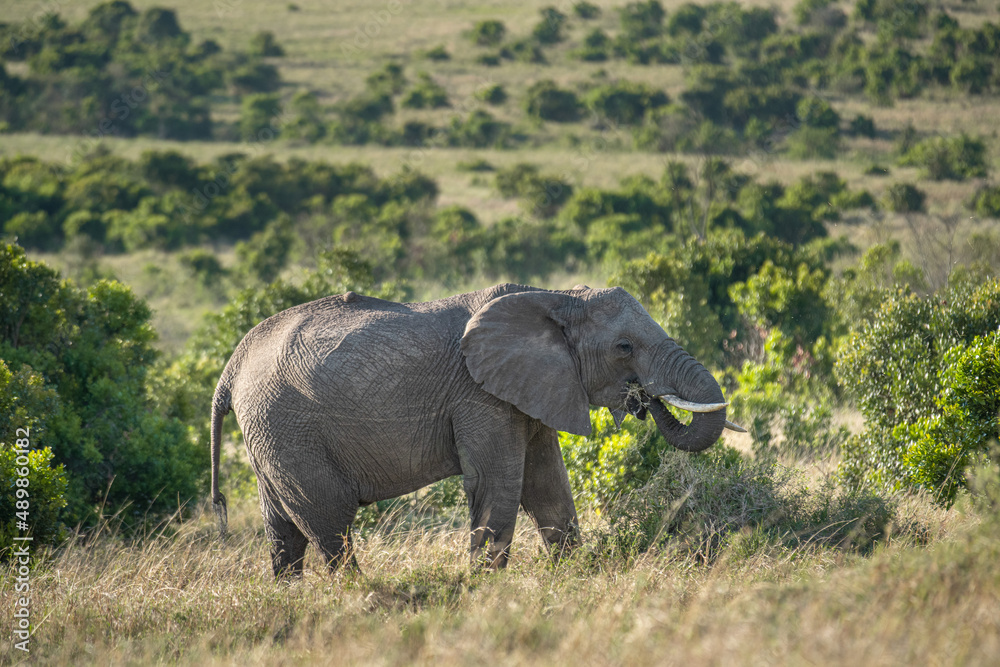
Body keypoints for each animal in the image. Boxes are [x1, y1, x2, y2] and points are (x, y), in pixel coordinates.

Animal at [209, 283, 741, 577]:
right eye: (624, 347)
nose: (642, 399)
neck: (557, 297)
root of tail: (231, 367)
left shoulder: (532, 390)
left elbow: (549, 488)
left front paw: (574, 576)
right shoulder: (480, 397)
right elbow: (500, 485)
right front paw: (485, 592)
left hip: (271, 436)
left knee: (284, 531)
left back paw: (291, 597)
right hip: (287, 428)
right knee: (328, 525)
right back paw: (360, 596)